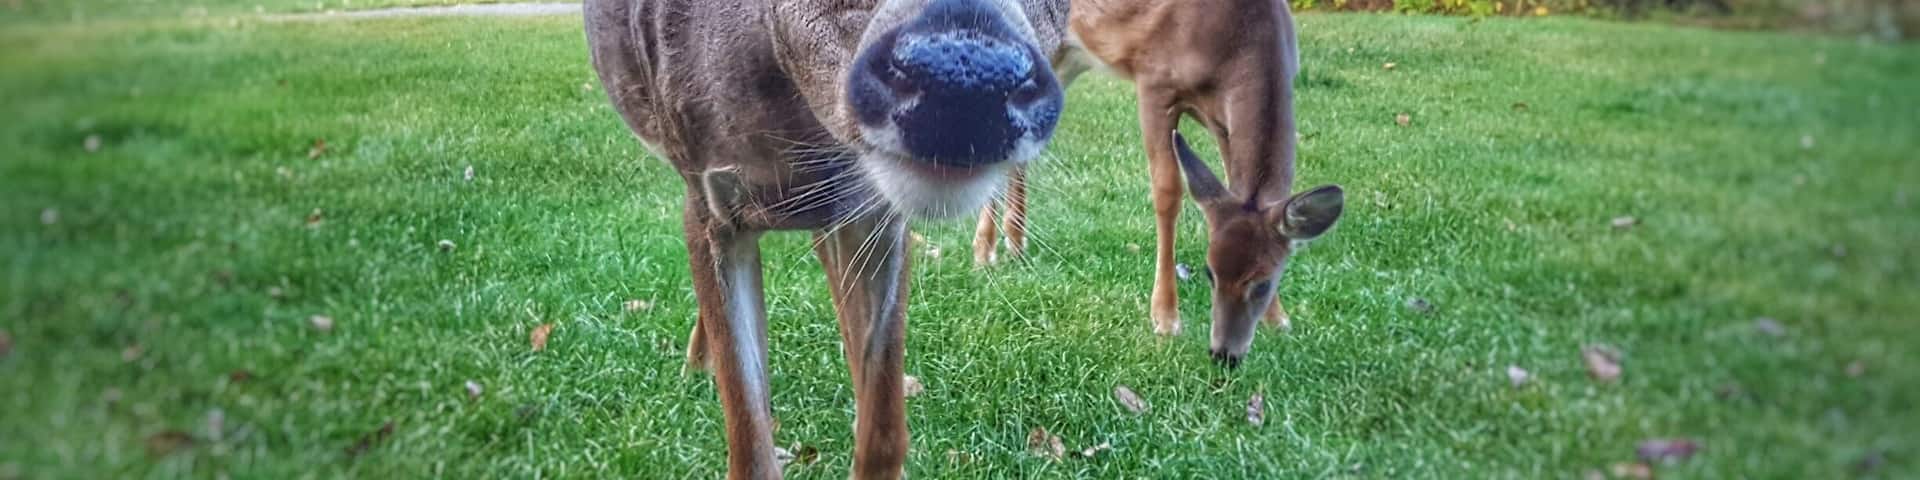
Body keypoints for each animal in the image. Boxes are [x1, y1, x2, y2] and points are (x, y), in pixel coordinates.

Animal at [968, 0, 1345, 367]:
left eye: (1264, 282)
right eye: (1209, 272)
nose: (1224, 354)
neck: (1242, 35)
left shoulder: (1222, 119)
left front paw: (1278, 319)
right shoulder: (1154, 79)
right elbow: (1168, 192)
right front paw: (1165, 318)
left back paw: (1015, 243)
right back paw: (984, 251)